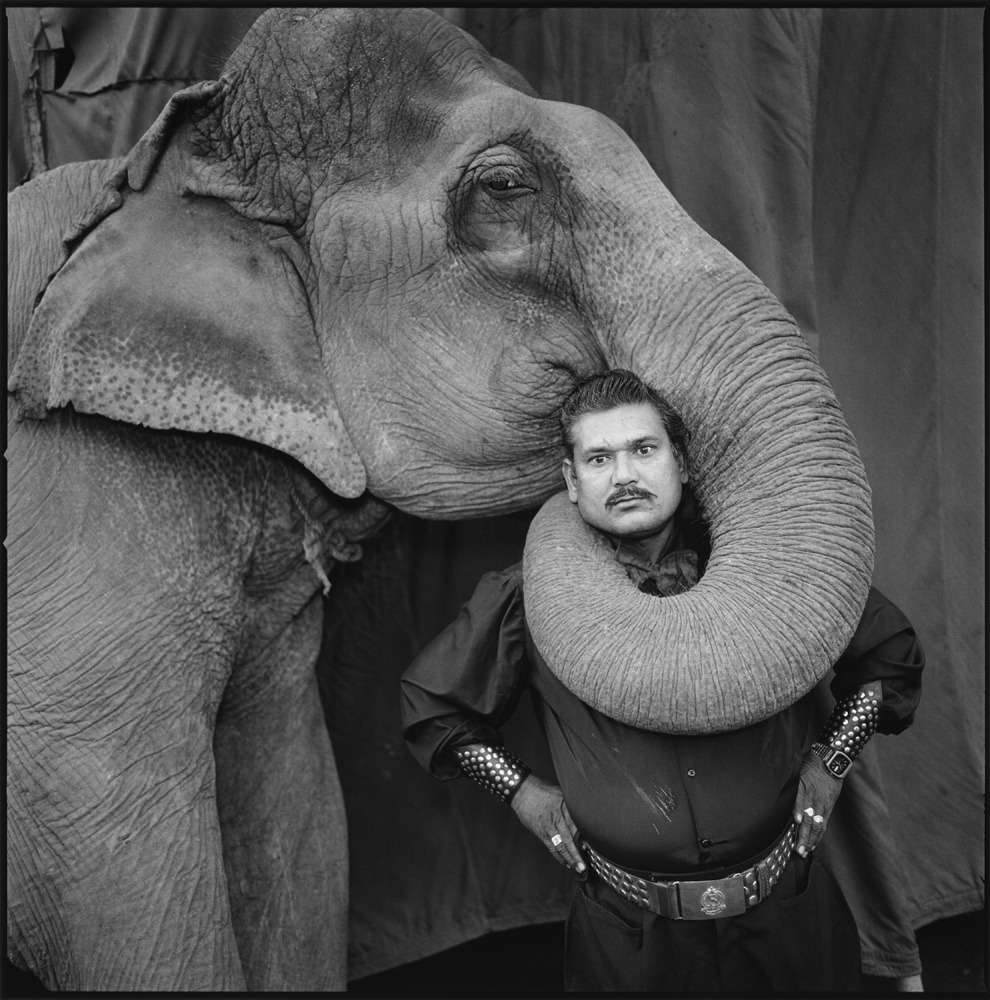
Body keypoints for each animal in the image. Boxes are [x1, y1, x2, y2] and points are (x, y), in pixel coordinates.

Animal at [7, 7, 876, 992]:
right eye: (504, 186)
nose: (609, 482)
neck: (153, 175)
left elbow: (301, 820)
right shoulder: (71, 574)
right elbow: (123, 900)